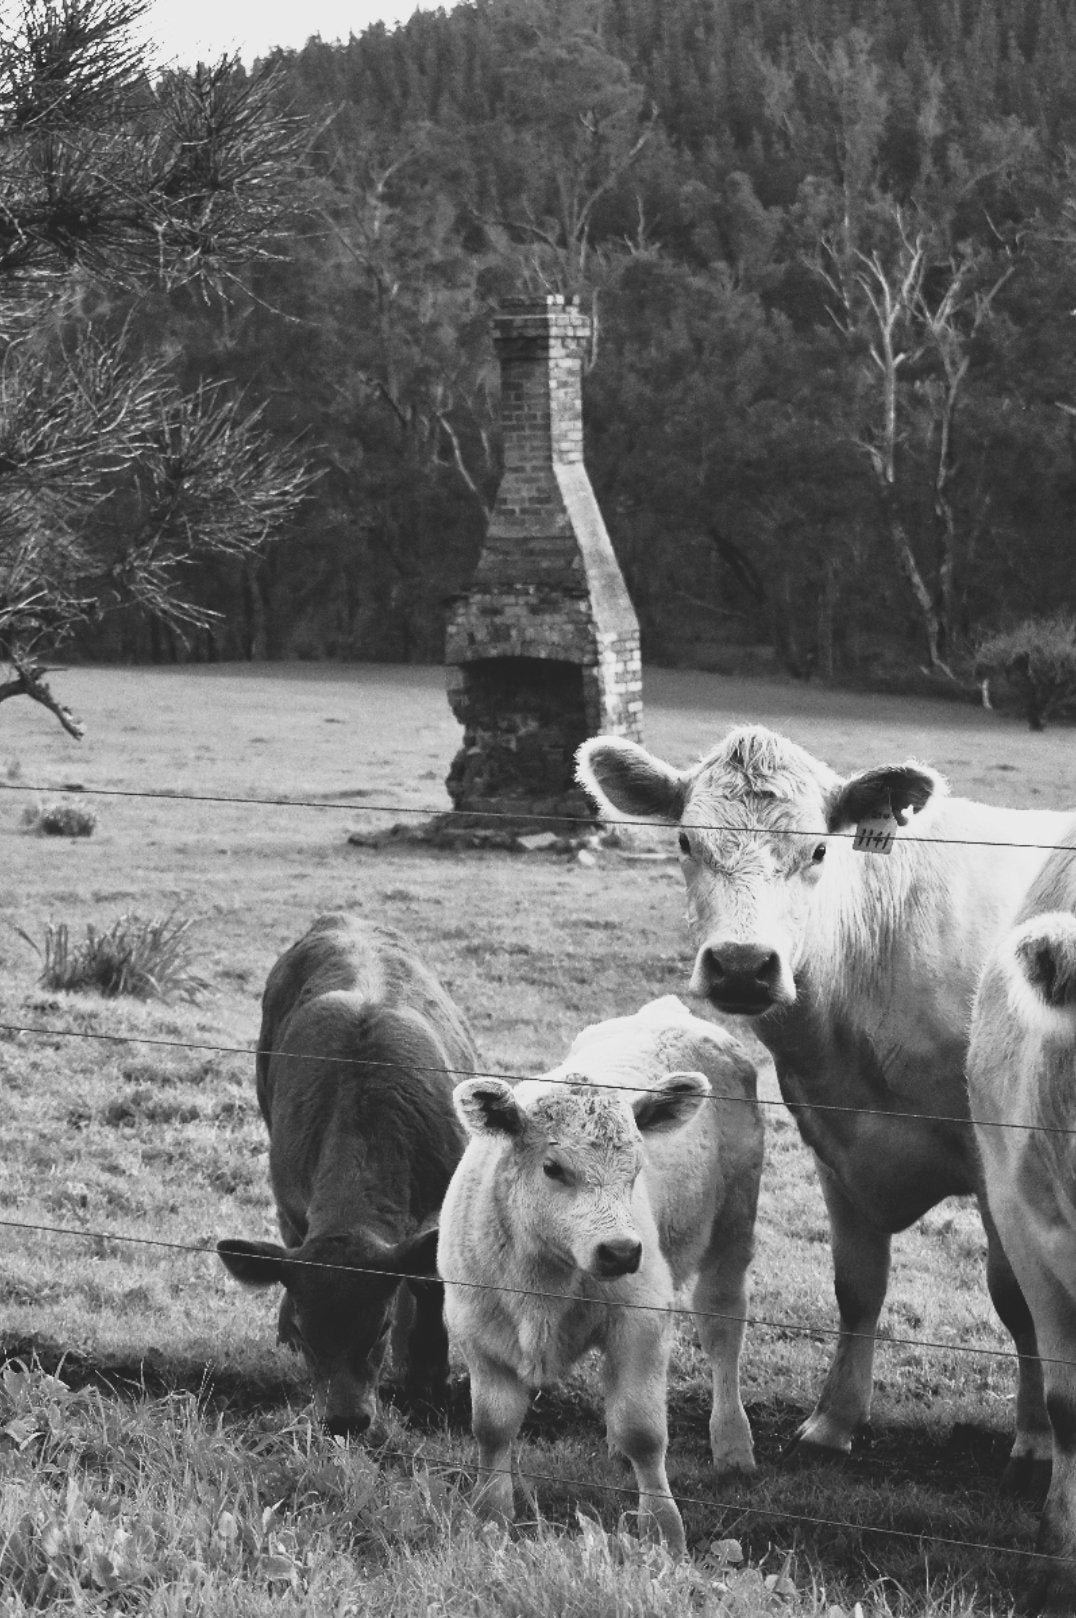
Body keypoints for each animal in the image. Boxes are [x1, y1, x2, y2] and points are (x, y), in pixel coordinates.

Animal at [217, 912, 477, 1441]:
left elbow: (428, 1286)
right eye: (305, 1331)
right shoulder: (291, 1204)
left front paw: (427, 1381)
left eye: (376, 1328)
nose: (345, 1420)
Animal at [438, 995, 762, 1554]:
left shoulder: (643, 1318)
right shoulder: (474, 1327)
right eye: (553, 1167)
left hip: (733, 1228)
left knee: (723, 1328)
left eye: (636, 1168)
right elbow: (492, 1428)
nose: (622, 1251)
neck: (542, 1285)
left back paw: (733, 1444)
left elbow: (644, 1432)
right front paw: (489, 1518)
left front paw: (664, 1534)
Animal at [577, 724, 1076, 1483]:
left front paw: (1037, 1440)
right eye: (686, 842)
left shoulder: (1002, 1167)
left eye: (817, 850)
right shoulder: (835, 1148)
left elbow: (1017, 1298)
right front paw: (833, 1421)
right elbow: (858, 1287)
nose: (743, 965)